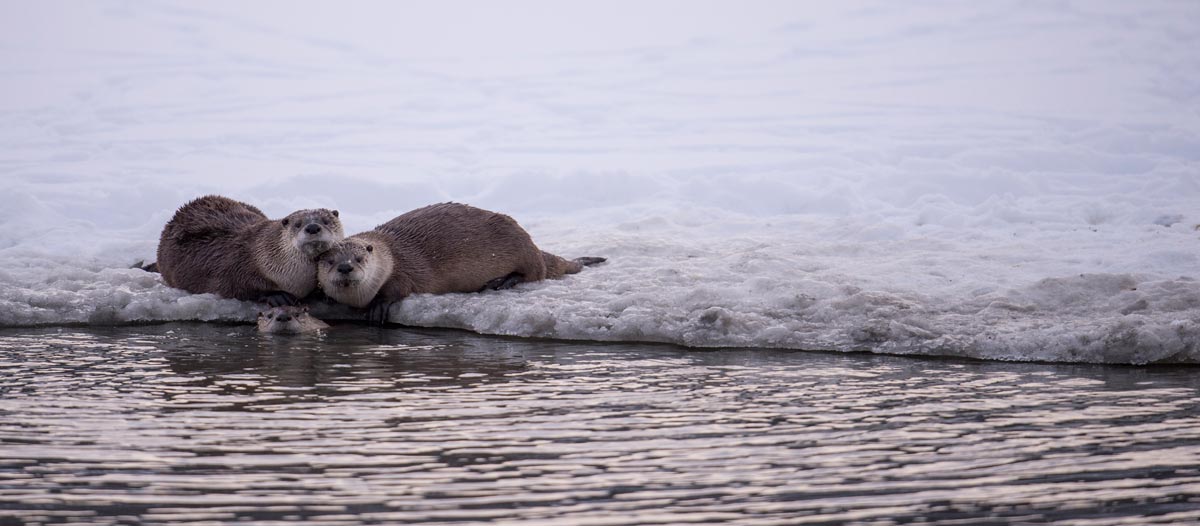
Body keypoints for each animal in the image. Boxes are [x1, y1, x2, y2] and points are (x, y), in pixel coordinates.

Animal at [154, 195, 343, 306]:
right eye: (298, 224)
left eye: (326, 221)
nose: (312, 227)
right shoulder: (234, 266)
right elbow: (237, 287)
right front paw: (277, 296)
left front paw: (322, 293)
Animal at [316, 202, 604, 321]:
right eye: (329, 261)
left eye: (359, 258)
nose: (345, 267)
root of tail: (534, 245)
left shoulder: (402, 270)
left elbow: (399, 288)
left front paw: (379, 306)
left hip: (520, 245)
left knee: (535, 272)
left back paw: (501, 281)